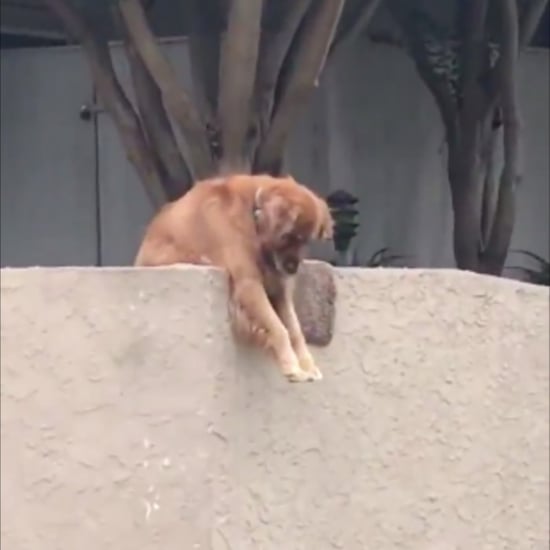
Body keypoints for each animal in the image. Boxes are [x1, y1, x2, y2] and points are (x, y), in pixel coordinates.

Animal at [135, 176, 334, 384]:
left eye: (305, 241)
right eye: (288, 237)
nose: (292, 269)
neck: (253, 213)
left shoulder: (279, 290)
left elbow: (295, 330)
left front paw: (307, 365)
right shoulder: (249, 284)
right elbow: (279, 328)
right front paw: (292, 367)